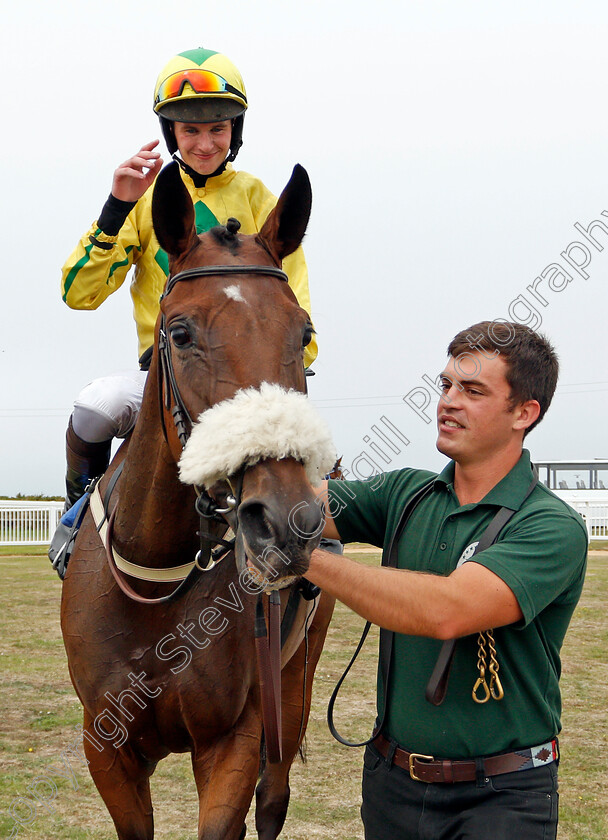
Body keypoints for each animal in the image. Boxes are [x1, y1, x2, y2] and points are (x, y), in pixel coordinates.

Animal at [60, 161, 338, 836]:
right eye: (180, 333)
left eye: (304, 333)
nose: (290, 520)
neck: (158, 577)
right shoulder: (104, 743)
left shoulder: (233, 735)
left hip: (294, 685)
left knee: (273, 798)